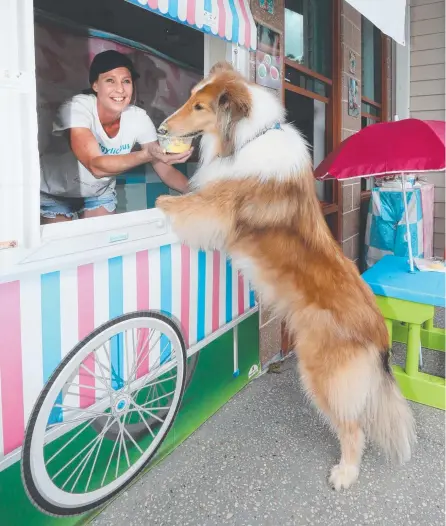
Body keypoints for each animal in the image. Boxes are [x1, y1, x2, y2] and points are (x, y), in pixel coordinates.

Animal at [155, 64, 416, 492]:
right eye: (191, 98)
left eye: (199, 106)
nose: (160, 129)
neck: (248, 136)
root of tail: (379, 332)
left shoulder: (220, 208)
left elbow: (192, 204)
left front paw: (163, 200)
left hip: (322, 373)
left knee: (353, 428)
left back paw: (345, 473)